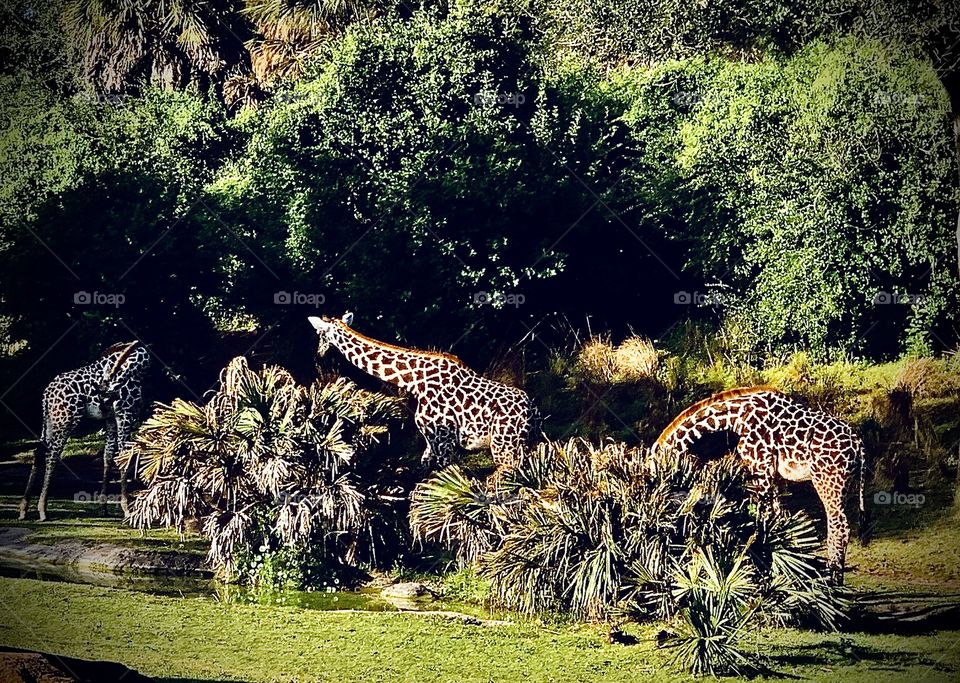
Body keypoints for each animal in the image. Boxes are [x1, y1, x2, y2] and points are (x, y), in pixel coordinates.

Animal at [19, 341, 151, 522]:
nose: (104, 394)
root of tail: (46, 395)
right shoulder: (126, 414)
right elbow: (123, 456)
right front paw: (127, 509)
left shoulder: (111, 419)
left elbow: (108, 456)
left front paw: (103, 508)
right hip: (66, 421)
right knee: (51, 455)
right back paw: (42, 510)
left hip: (49, 421)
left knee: (38, 452)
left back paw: (24, 509)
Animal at [308, 312, 541, 470]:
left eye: (320, 333)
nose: (318, 353)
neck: (414, 380)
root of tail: (532, 413)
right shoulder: (431, 442)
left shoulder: (443, 440)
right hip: (531, 443)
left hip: (504, 447)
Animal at [652, 386, 867, 585]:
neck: (736, 417)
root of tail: (859, 444)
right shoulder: (777, 477)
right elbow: (780, 518)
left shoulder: (761, 470)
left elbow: (762, 518)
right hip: (843, 483)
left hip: (827, 480)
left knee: (839, 526)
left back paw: (833, 579)